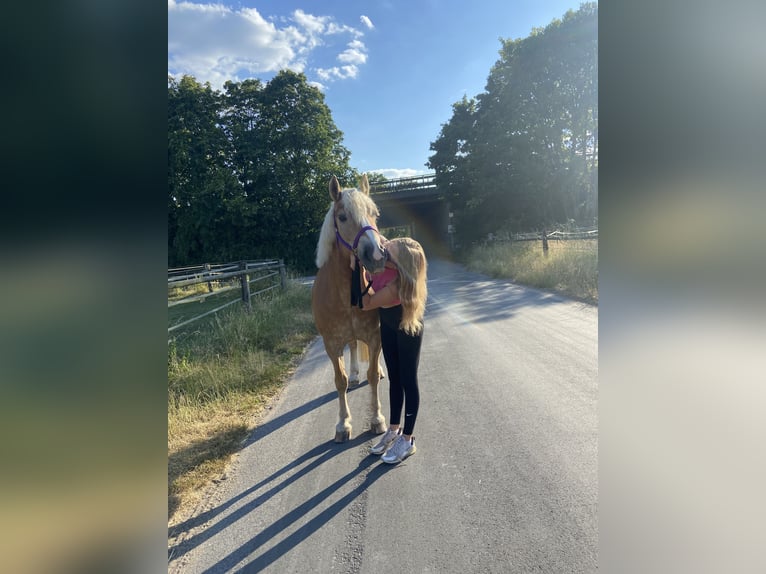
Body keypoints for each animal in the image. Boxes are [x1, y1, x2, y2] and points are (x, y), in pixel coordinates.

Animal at [310, 173, 388, 444]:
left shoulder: (375, 336)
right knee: (353, 347)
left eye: (375, 214)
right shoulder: (331, 344)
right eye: (342, 217)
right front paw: (343, 424)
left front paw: (376, 419)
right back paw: (355, 374)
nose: (377, 255)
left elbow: (372, 375)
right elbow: (340, 381)